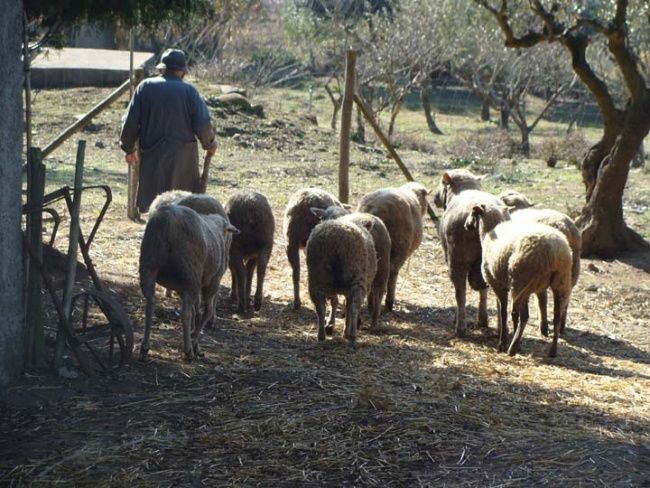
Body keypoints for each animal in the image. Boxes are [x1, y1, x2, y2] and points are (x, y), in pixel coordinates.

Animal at [139, 204, 238, 360]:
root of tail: (168, 220)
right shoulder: (213, 282)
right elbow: (206, 312)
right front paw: (195, 342)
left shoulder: (182, 288)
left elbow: (195, 309)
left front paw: (193, 333)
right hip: (189, 275)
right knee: (185, 314)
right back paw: (188, 351)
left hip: (148, 265)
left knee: (149, 306)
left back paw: (144, 348)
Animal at [432, 171, 498, 336]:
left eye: (442, 182)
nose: (434, 198)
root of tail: (480, 212)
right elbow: (483, 291)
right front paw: (482, 320)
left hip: (457, 259)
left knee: (460, 293)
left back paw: (460, 327)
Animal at [464, 200, 568, 356]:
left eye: (472, 212)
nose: (466, 225)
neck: (488, 232)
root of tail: (553, 252)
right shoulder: (505, 284)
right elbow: (511, 313)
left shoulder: (497, 284)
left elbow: (504, 312)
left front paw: (502, 343)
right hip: (560, 283)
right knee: (556, 318)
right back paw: (552, 351)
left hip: (522, 282)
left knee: (524, 316)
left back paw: (512, 348)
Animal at [498, 190, 580, 336]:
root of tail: (567, 229)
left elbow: (540, 299)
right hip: (571, 271)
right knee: (565, 298)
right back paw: (561, 326)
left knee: (544, 299)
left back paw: (544, 326)